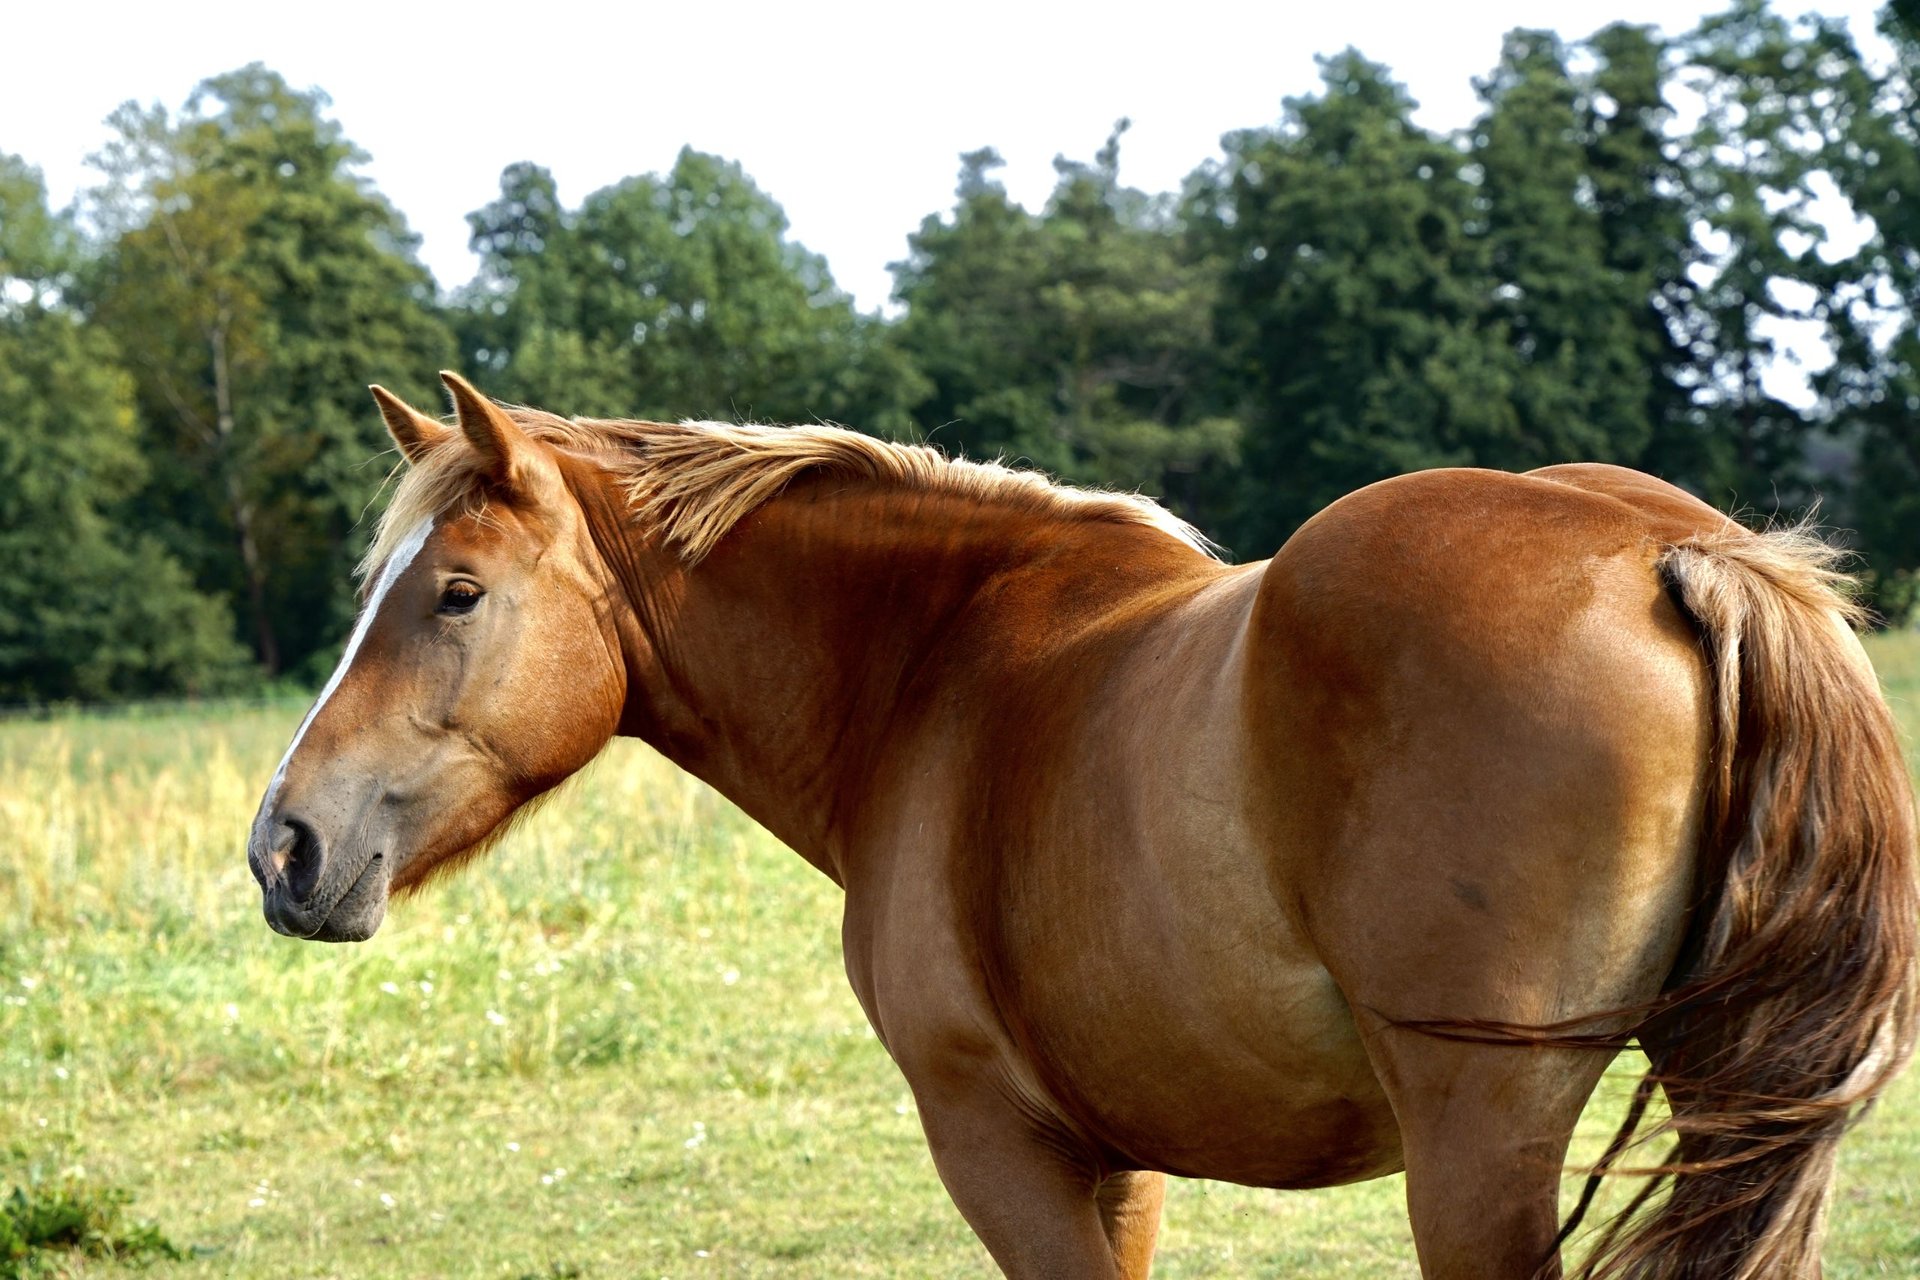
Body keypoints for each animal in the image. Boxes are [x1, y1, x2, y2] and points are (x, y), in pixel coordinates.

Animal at [247, 372, 1916, 1279]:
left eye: (455, 594)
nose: (285, 846)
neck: (935, 668)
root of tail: (1671, 553)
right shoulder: (1123, 1163)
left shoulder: (1000, 1141)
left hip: (1479, 1142)